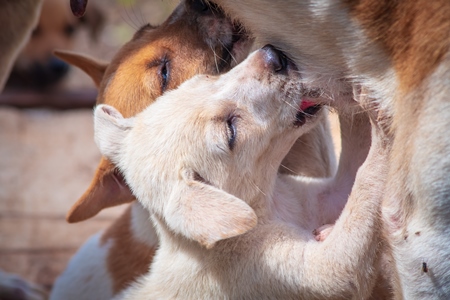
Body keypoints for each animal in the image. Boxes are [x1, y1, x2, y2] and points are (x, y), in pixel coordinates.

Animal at [94, 45, 386, 298]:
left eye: (206, 77)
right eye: (231, 130)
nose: (273, 54)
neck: (269, 206)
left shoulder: (313, 197)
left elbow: (352, 176)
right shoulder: (279, 271)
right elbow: (361, 193)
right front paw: (380, 114)